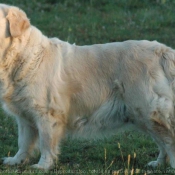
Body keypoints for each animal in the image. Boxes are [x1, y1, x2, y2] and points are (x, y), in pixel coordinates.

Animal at [0, 3, 175, 170]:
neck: (21, 56)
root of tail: (163, 51)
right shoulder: (24, 116)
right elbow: (23, 142)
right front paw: (16, 160)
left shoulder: (47, 113)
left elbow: (46, 143)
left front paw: (43, 165)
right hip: (144, 117)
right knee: (163, 144)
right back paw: (158, 164)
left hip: (148, 112)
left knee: (169, 141)